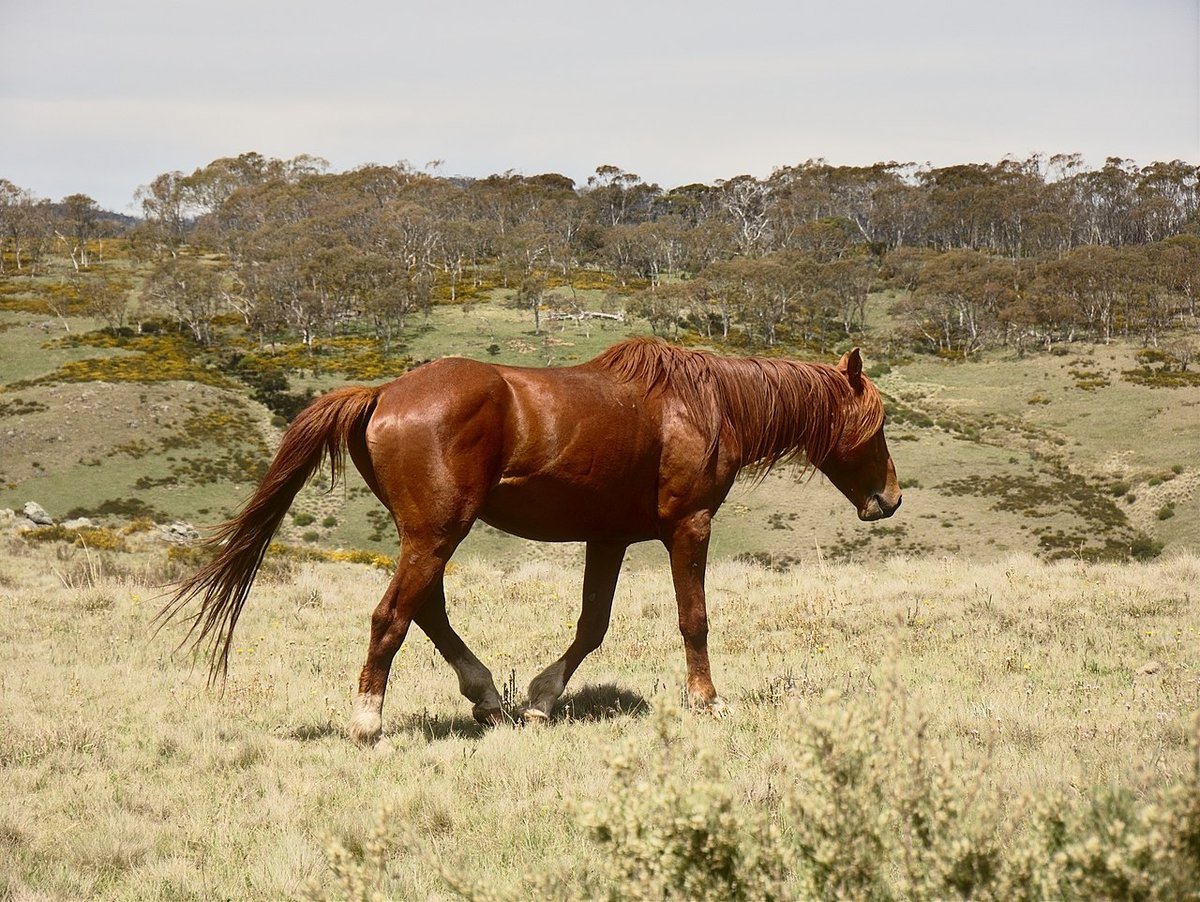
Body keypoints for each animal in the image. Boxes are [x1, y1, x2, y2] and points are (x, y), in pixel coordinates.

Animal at [164, 335, 902, 743]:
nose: (890, 499)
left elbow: (592, 626)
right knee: (392, 616)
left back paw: (490, 699)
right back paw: (369, 722)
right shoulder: (689, 527)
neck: (703, 407)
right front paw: (707, 701)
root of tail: (384, 393)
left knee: (425, 611)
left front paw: (544, 699)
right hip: (437, 532)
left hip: (429, 535)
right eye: (878, 423)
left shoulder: (609, 539)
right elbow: (694, 620)